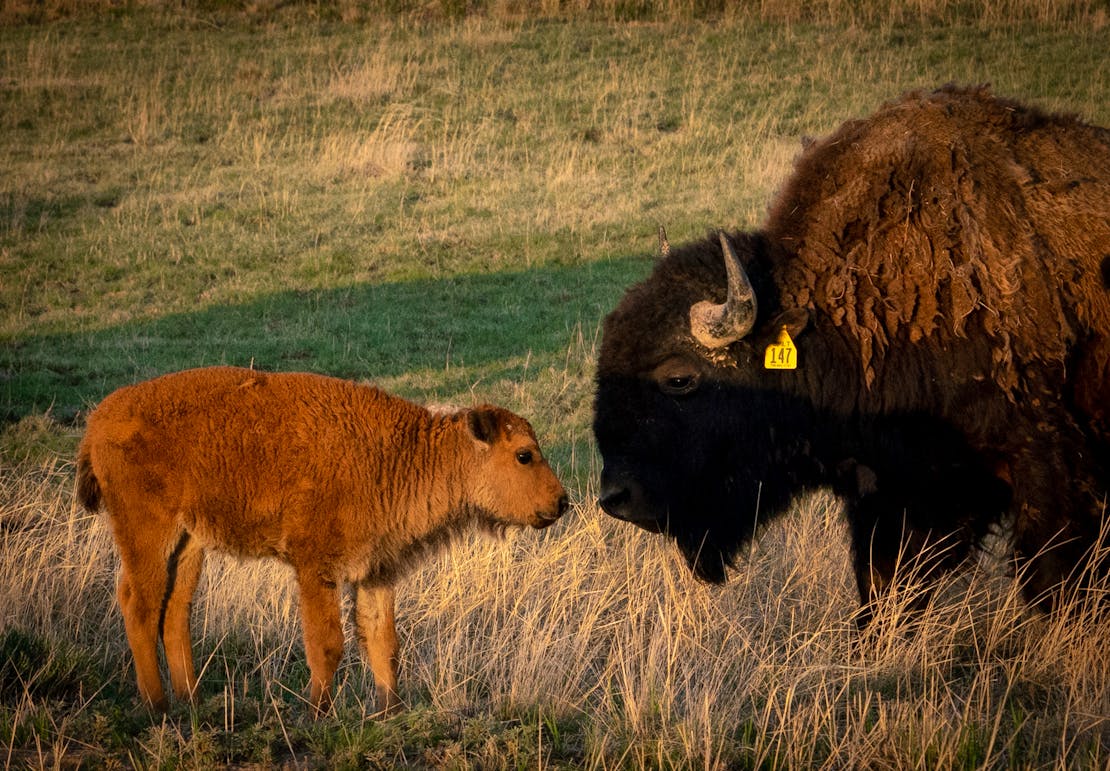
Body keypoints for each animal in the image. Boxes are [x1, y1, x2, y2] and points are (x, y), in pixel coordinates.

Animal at [76, 363, 572, 714]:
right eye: (524, 455)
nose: (562, 501)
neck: (403, 455)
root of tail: (99, 419)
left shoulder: (376, 571)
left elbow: (383, 643)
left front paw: (389, 713)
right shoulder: (316, 569)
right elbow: (327, 643)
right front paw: (318, 713)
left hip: (190, 542)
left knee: (176, 609)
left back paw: (191, 701)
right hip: (146, 532)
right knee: (139, 604)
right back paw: (158, 706)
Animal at [594, 85, 1110, 625]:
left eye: (679, 378)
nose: (615, 498)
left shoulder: (1047, 470)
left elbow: (1054, 581)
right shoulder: (894, 491)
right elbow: (883, 587)